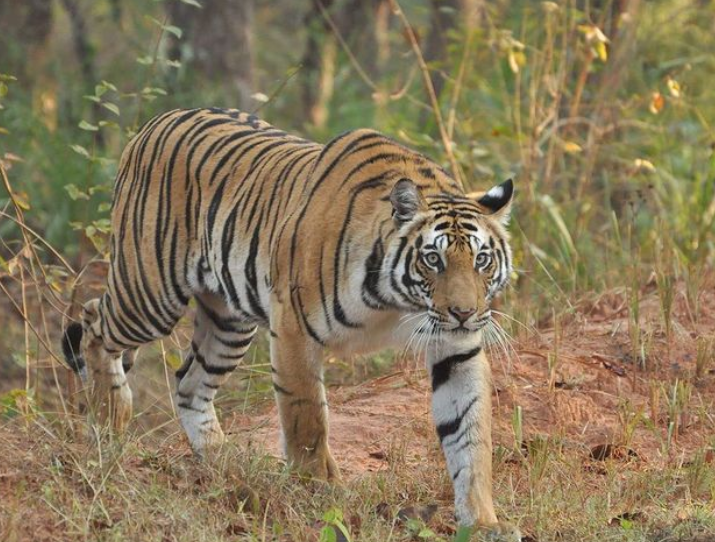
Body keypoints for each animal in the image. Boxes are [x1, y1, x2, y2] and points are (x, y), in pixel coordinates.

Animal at [61, 107, 515, 531]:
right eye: (433, 259)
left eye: (482, 260)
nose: (463, 313)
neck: (398, 302)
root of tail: (159, 120)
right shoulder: (296, 328)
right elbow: (307, 419)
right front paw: (320, 491)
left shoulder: (456, 348)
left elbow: (470, 434)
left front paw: (482, 522)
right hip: (150, 295)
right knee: (94, 324)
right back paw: (110, 420)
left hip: (228, 324)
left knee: (189, 382)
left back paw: (221, 460)